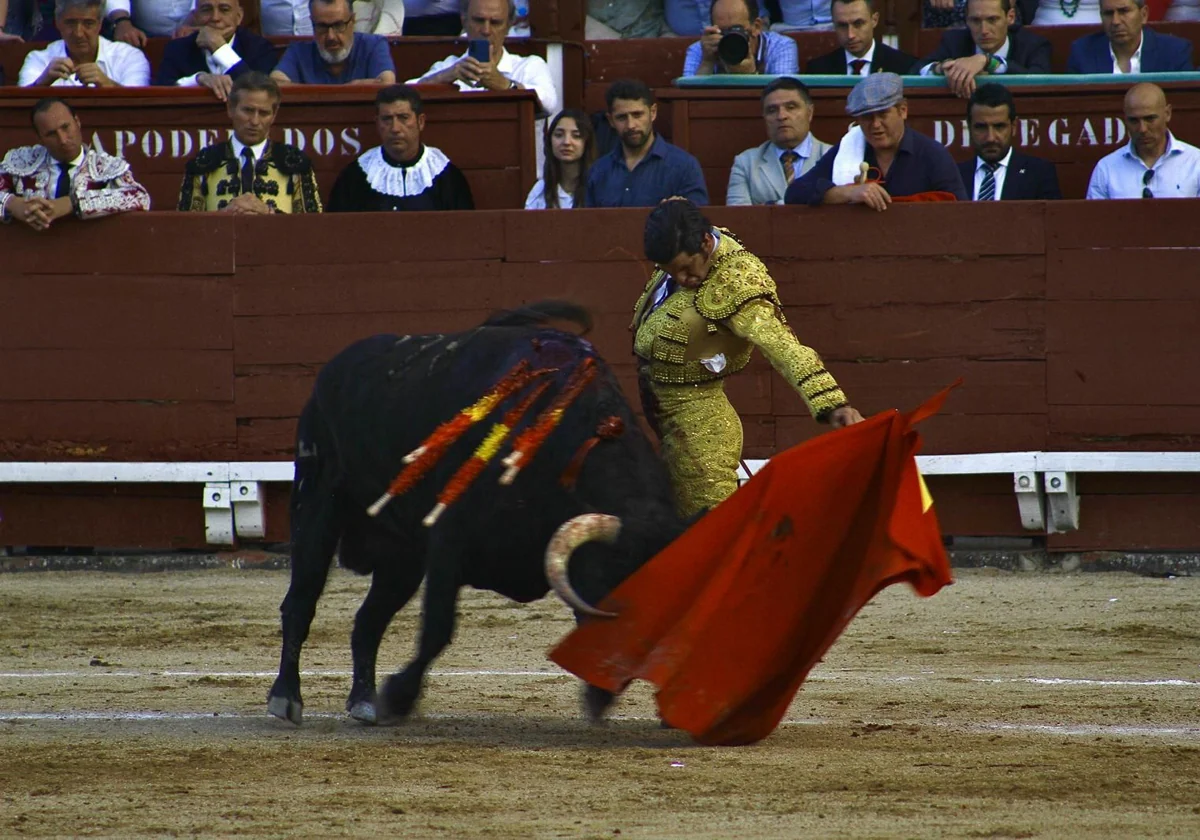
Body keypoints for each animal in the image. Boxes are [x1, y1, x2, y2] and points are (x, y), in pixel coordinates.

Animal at [267, 304, 691, 724]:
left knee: (368, 621)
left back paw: (364, 701)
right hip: (315, 505)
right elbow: (438, 628)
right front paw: (400, 696)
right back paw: (286, 698)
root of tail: (331, 370)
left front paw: (598, 697)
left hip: (402, 556)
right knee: (300, 602)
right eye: (612, 587)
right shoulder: (448, 542)